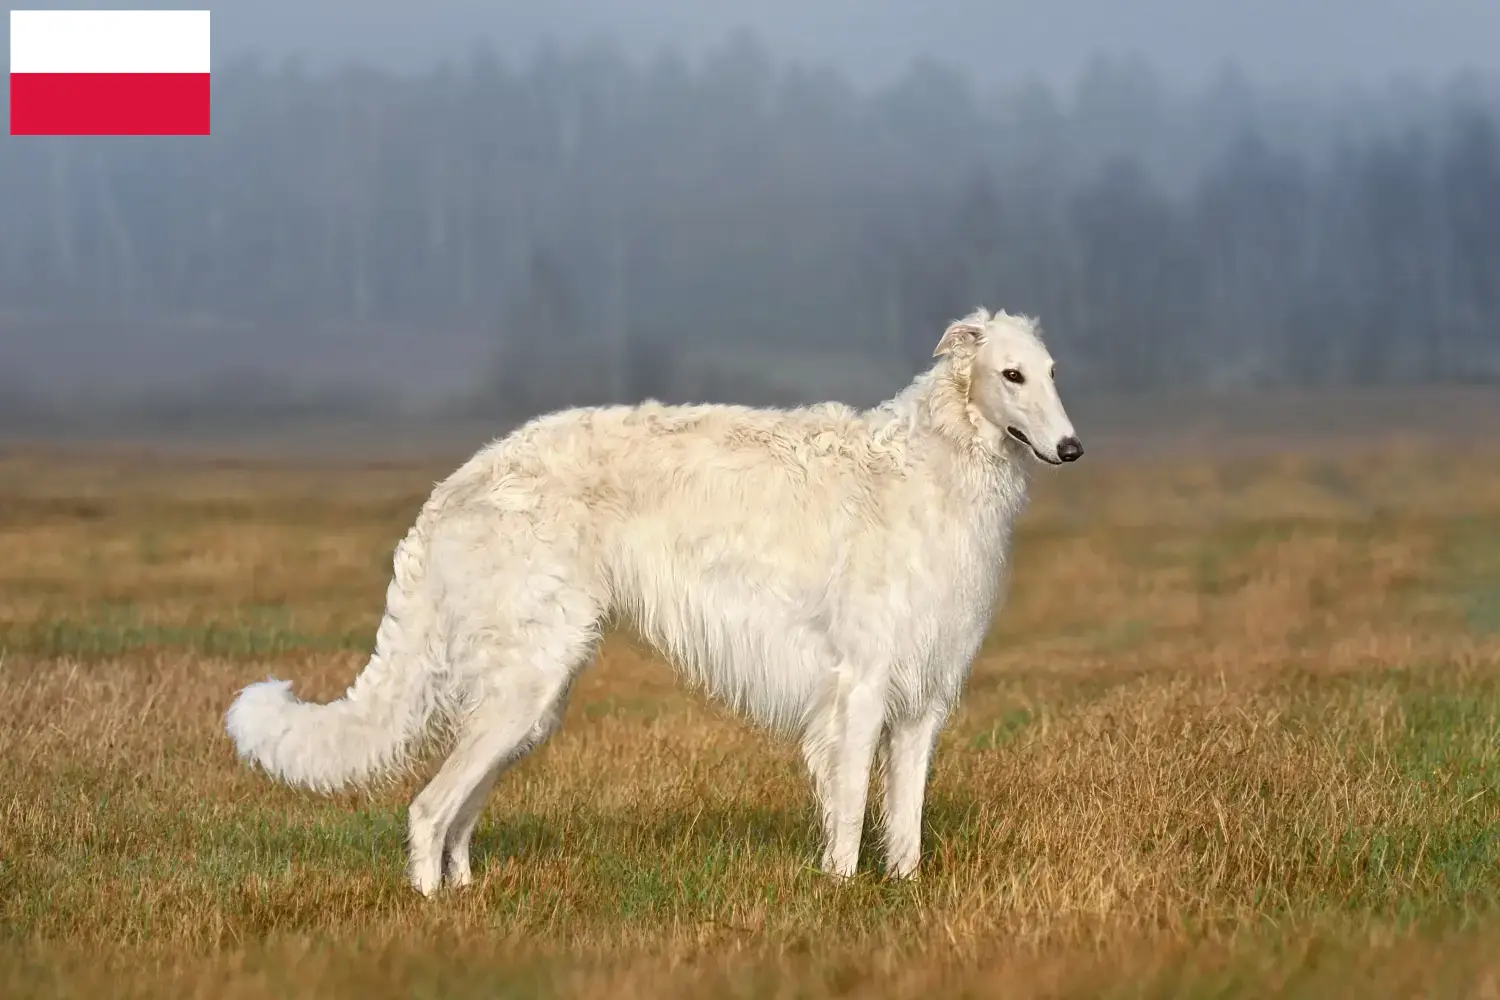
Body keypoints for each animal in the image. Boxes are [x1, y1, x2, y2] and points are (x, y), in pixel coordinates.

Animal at [225, 308, 1080, 893]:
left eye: (1052, 371)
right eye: (1010, 376)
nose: (1072, 448)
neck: (935, 462)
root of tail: (459, 482)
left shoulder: (923, 699)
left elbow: (905, 823)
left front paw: (902, 889)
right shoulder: (859, 690)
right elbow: (846, 815)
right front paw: (839, 892)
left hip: (528, 700)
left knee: (458, 814)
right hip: (524, 684)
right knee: (428, 808)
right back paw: (430, 908)